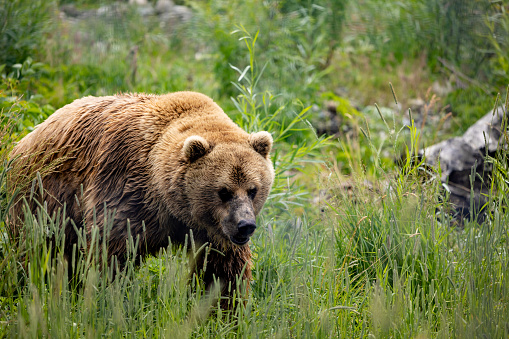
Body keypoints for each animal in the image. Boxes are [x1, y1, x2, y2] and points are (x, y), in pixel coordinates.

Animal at [7, 91, 272, 310]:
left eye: (253, 189)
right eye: (224, 191)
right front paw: (105, 298)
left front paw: (223, 312)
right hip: (43, 200)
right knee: (37, 250)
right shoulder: (125, 191)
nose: (245, 226)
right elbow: (109, 254)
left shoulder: (210, 230)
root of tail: (23, 141)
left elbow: (221, 270)